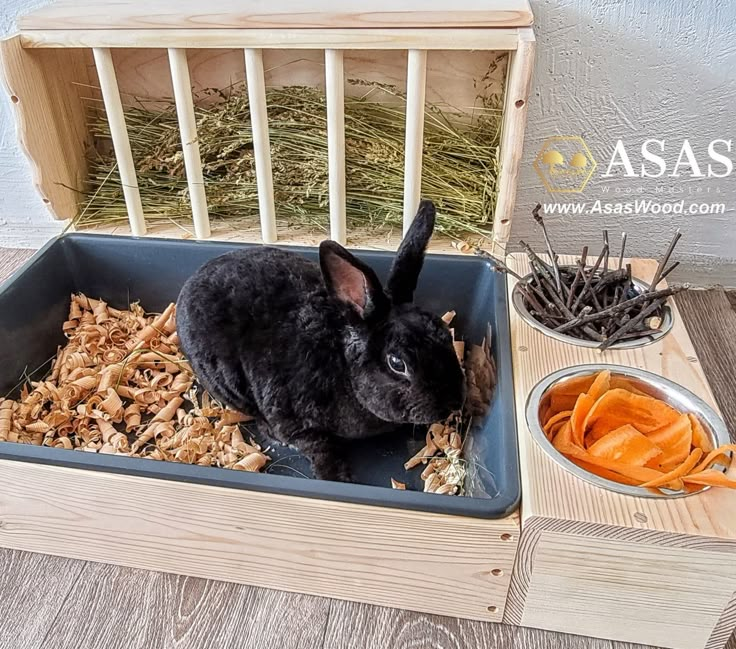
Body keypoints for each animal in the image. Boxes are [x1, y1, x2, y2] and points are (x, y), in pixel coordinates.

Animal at [178, 201, 462, 480]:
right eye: (396, 363)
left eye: (444, 332)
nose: (453, 402)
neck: (343, 368)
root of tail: (191, 280)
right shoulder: (294, 424)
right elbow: (317, 446)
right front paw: (335, 475)